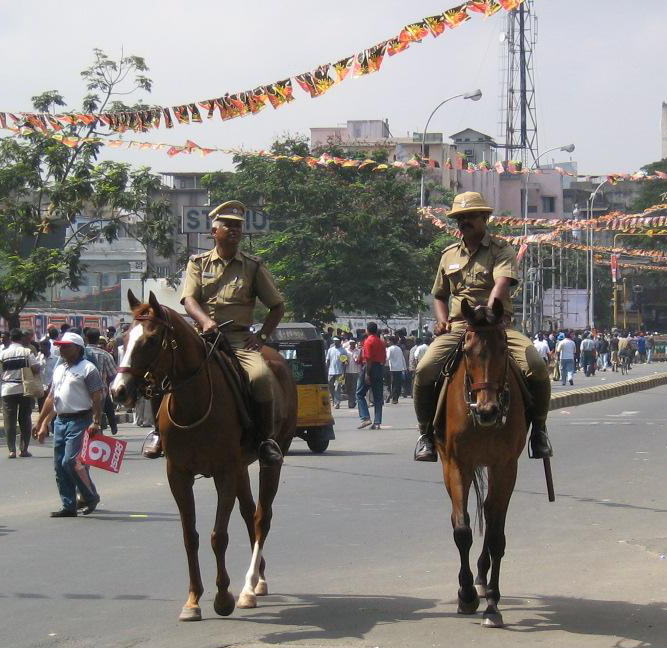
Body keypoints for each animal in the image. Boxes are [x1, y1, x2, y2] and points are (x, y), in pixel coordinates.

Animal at [111, 292, 296, 620]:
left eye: (151, 339)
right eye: (124, 338)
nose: (118, 391)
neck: (193, 402)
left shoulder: (224, 472)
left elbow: (218, 535)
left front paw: (223, 597)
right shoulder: (178, 474)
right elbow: (190, 536)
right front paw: (193, 599)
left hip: (272, 455)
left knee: (262, 517)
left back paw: (249, 586)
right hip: (241, 466)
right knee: (249, 514)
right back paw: (256, 581)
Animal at [436, 298, 528, 628]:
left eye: (503, 348)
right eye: (467, 351)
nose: (488, 410)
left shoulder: (506, 466)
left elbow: (497, 535)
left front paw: (492, 604)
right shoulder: (456, 463)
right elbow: (462, 530)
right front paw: (465, 596)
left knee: (489, 513)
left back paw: (483, 579)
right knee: (461, 516)